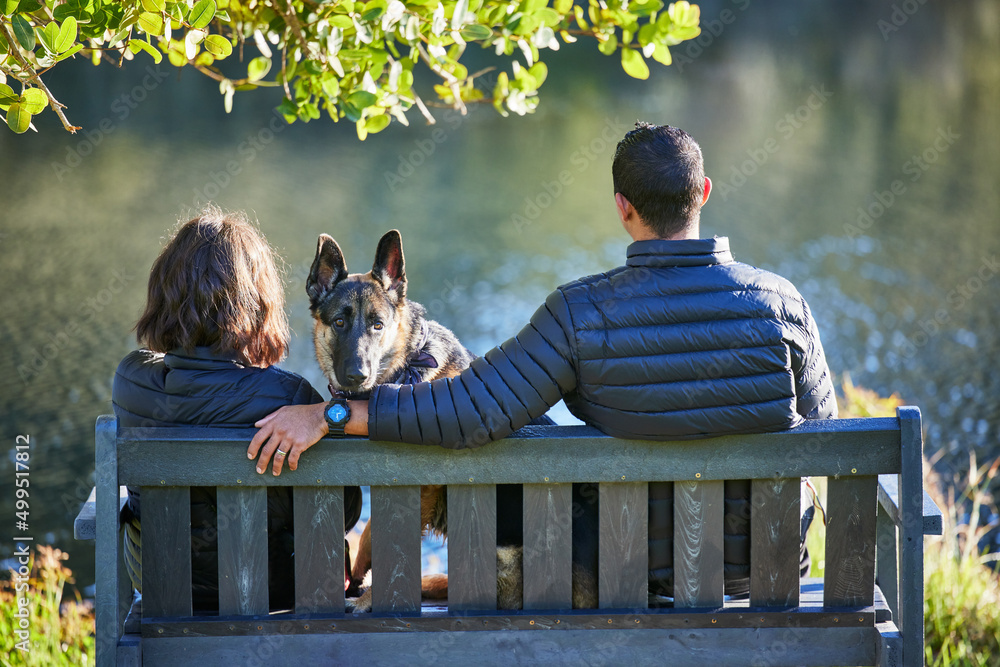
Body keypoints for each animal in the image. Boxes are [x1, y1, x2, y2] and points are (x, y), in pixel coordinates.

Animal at [304, 232, 596, 612]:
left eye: (377, 325)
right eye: (339, 322)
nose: (357, 375)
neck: (408, 362)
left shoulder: (419, 492)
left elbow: (386, 544)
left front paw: (368, 596)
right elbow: (369, 537)